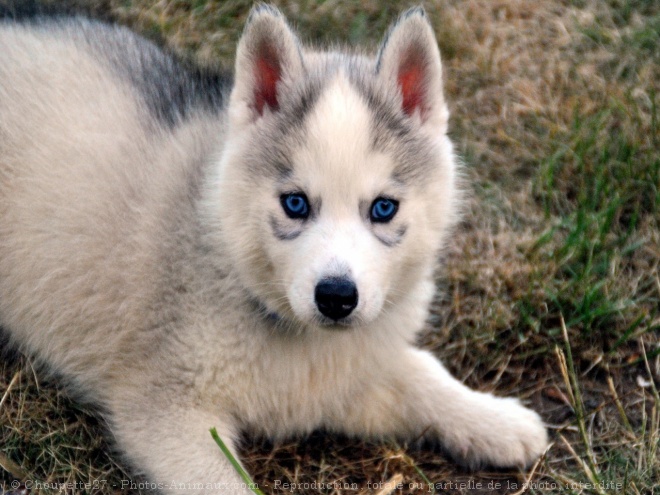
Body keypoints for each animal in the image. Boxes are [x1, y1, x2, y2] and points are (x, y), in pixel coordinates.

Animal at [0, 5, 548, 494]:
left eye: (383, 208)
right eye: (295, 203)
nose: (336, 297)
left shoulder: (340, 378)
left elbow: (419, 372)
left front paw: (495, 420)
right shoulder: (165, 408)